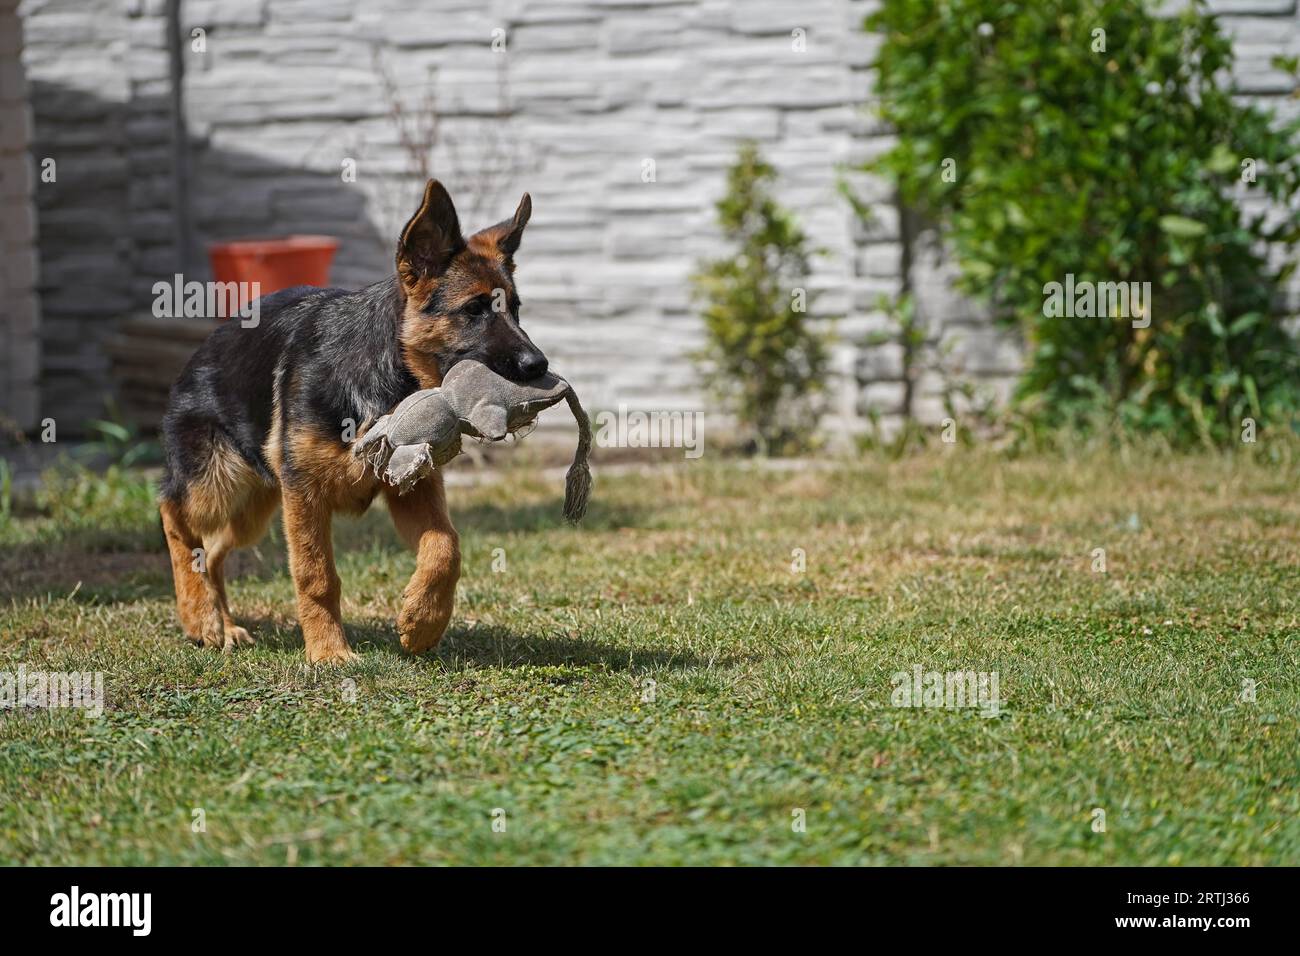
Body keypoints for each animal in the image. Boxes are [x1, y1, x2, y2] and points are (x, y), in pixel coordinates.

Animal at [159, 179, 546, 660]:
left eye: (515, 309)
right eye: (474, 309)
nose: (539, 365)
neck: (387, 371)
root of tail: (202, 347)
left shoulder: (412, 488)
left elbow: (446, 546)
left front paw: (423, 621)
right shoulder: (304, 495)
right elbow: (316, 575)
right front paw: (328, 653)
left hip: (254, 505)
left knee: (211, 550)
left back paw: (222, 625)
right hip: (216, 482)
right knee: (174, 516)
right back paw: (199, 615)